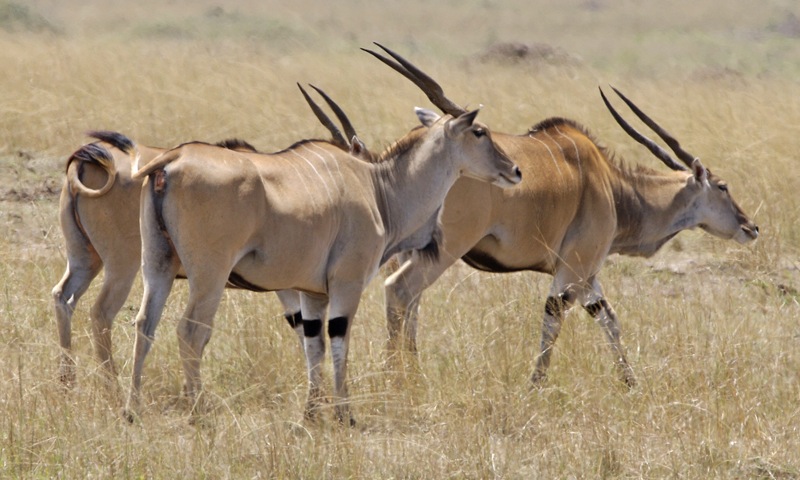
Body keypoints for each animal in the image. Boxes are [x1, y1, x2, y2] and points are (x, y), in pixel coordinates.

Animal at [119, 102, 520, 424]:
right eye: (480, 131)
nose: (515, 170)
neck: (378, 187)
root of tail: (171, 160)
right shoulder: (347, 283)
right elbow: (339, 338)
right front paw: (344, 415)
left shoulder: (311, 293)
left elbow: (314, 344)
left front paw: (312, 414)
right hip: (210, 276)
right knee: (190, 331)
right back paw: (199, 412)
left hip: (158, 268)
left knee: (145, 325)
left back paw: (132, 410)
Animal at [366, 44, 760, 390]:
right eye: (722, 186)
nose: (751, 227)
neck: (612, 186)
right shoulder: (574, 270)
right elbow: (554, 320)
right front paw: (535, 386)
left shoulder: (587, 277)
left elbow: (609, 319)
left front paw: (631, 383)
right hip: (446, 248)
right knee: (401, 289)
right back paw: (394, 381)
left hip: (414, 250)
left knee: (411, 302)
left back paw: (412, 376)